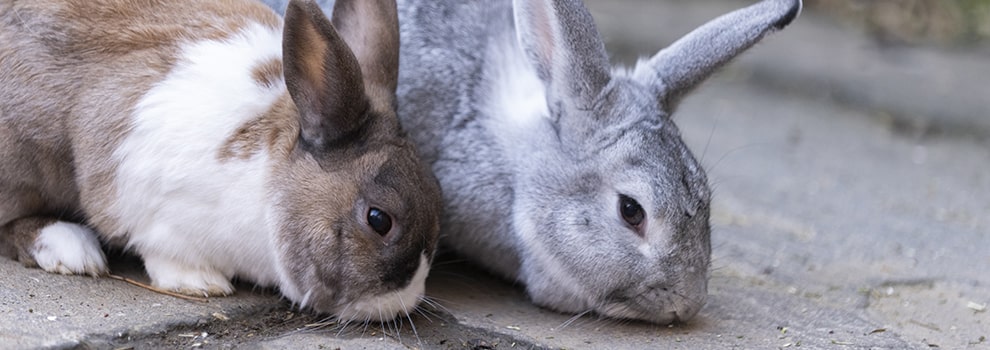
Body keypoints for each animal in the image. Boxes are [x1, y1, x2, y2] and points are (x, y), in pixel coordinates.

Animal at [0, 0, 442, 322]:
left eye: (438, 192)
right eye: (379, 219)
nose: (405, 302)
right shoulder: (139, 187)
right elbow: (158, 243)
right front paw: (199, 283)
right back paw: (70, 248)